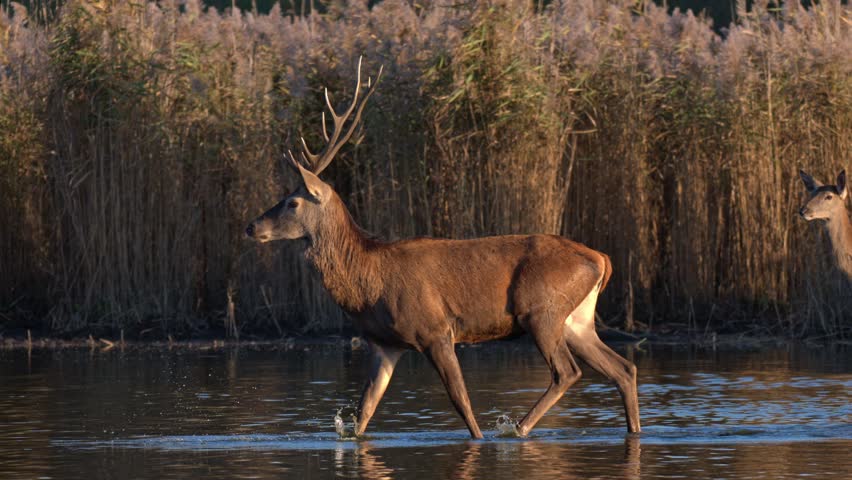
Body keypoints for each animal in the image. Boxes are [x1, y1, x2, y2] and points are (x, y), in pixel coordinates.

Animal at [245, 58, 641, 439]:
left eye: (293, 202)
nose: (252, 227)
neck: (367, 282)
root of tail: (602, 258)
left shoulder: (434, 329)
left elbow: (461, 400)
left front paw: (479, 438)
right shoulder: (383, 344)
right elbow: (364, 411)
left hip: (541, 310)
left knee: (568, 372)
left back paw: (518, 428)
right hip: (577, 318)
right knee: (624, 368)